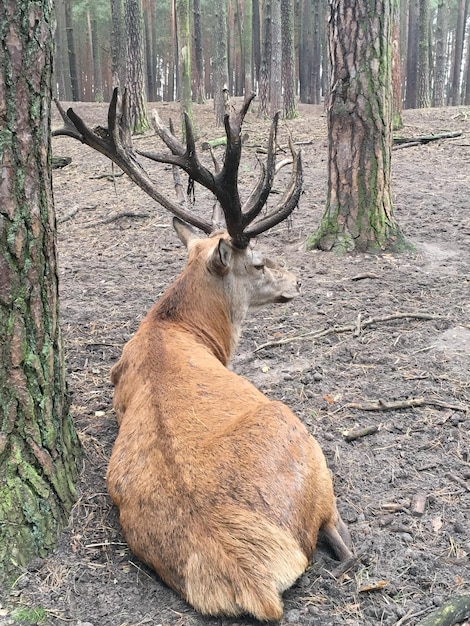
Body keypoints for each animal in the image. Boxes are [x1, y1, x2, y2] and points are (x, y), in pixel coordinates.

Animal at [53, 90, 352, 620]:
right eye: (259, 262)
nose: (298, 280)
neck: (183, 329)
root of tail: (251, 578)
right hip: (294, 431)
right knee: (341, 540)